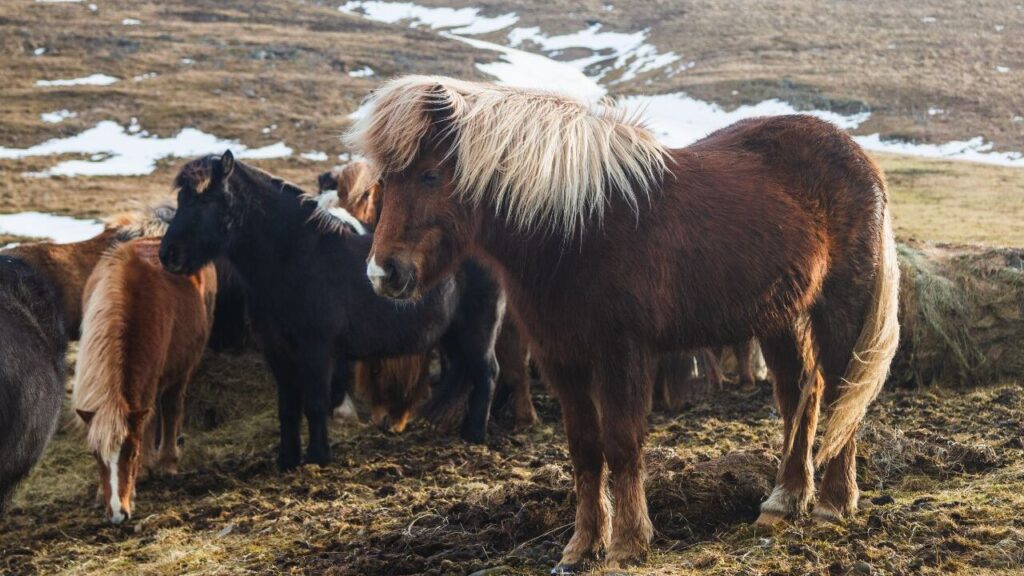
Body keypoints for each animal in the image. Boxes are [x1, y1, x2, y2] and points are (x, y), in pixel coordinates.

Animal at [73, 239, 216, 524]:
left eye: (132, 453)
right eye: (95, 455)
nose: (118, 514)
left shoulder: (150, 380)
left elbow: (148, 423)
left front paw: (141, 473)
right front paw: (100, 493)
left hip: (180, 370)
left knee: (170, 408)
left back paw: (166, 463)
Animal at [158, 153, 504, 471]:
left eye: (207, 200)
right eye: (181, 198)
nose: (169, 254)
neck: (292, 259)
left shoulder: (317, 350)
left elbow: (314, 403)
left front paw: (317, 457)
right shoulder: (277, 352)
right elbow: (287, 408)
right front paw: (287, 460)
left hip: (477, 333)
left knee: (487, 374)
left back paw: (474, 435)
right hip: (452, 337)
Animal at [346, 76, 900, 571]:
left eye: (430, 175)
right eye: (384, 182)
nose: (383, 274)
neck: (574, 227)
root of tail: (860, 159)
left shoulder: (621, 352)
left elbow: (621, 442)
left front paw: (629, 543)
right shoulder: (561, 358)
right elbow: (585, 449)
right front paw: (582, 546)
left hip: (837, 305)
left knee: (841, 392)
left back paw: (832, 503)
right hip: (779, 316)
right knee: (799, 394)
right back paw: (784, 501)